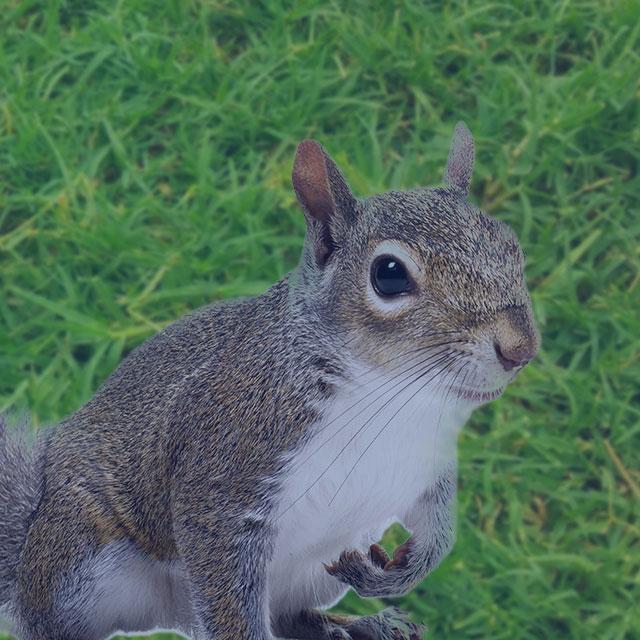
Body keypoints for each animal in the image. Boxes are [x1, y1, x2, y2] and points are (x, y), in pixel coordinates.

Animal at [0, 123, 539, 640]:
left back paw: (361, 625)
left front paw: (399, 573)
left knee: (290, 616)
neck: (392, 397)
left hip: (308, 575)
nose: (520, 348)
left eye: (510, 245)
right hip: (83, 565)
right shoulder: (226, 474)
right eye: (388, 275)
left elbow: (440, 533)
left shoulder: (426, 465)